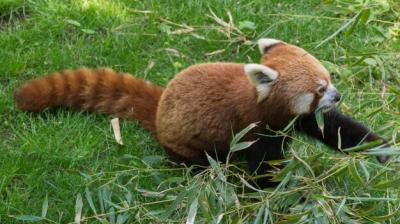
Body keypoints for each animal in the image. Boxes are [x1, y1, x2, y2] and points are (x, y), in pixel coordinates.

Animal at [14, 38, 390, 187]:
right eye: (319, 89)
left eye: (329, 80)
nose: (338, 95)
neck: (266, 104)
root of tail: (161, 104)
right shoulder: (251, 130)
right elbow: (262, 168)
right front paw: (276, 193)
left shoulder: (298, 118)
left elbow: (338, 130)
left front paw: (383, 149)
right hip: (187, 146)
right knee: (197, 163)